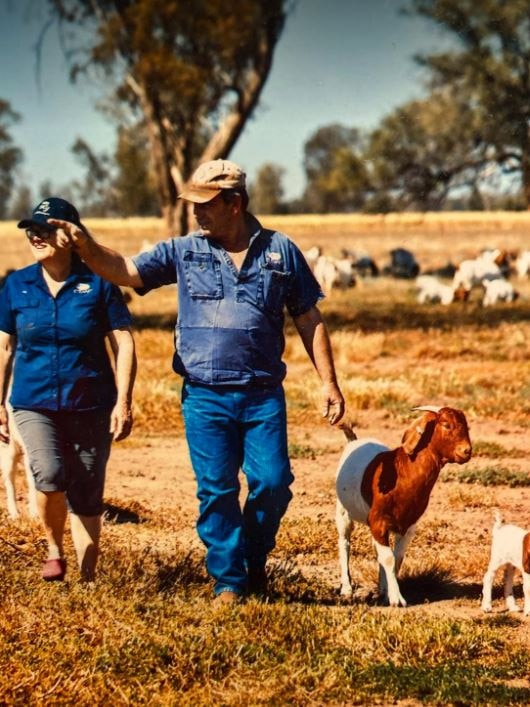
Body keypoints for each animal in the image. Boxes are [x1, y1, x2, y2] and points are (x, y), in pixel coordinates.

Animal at [334, 406, 470, 604]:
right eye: (446, 425)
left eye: (467, 426)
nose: (467, 451)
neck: (403, 471)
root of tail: (354, 442)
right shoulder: (378, 522)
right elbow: (389, 558)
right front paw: (396, 599)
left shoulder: (408, 525)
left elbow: (396, 557)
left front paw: (388, 592)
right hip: (343, 511)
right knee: (345, 542)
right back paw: (346, 588)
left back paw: (381, 588)